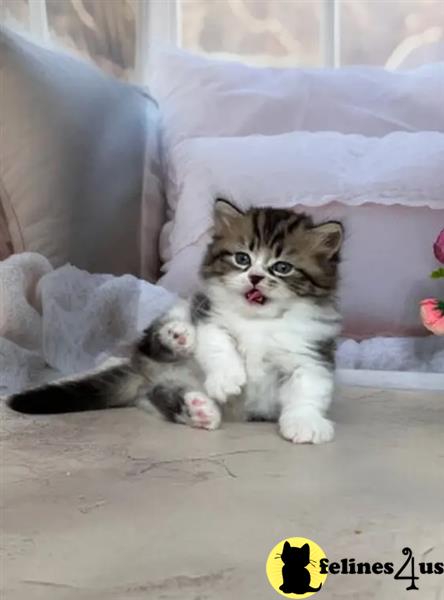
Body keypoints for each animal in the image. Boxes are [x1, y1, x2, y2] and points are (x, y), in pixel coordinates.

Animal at [9, 199, 344, 442]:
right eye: (242, 259)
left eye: (282, 267)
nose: (256, 277)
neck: (259, 322)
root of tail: (143, 371)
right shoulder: (206, 313)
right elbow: (219, 343)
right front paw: (227, 379)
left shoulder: (311, 353)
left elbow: (308, 388)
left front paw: (306, 423)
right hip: (175, 317)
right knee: (152, 343)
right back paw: (177, 338)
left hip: (162, 385)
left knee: (157, 396)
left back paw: (197, 410)